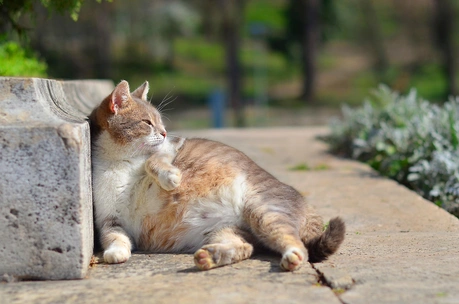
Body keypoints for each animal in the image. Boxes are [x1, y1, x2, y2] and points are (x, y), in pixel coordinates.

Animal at [90, 80, 344, 270]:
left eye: (161, 122)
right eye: (147, 122)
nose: (164, 132)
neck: (119, 163)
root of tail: (307, 205)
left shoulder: (171, 146)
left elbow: (154, 161)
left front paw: (171, 178)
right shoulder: (109, 221)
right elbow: (115, 238)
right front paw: (115, 253)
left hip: (264, 212)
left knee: (299, 246)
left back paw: (292, 257)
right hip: (224, 231)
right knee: (246, 247)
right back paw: (210, 257)